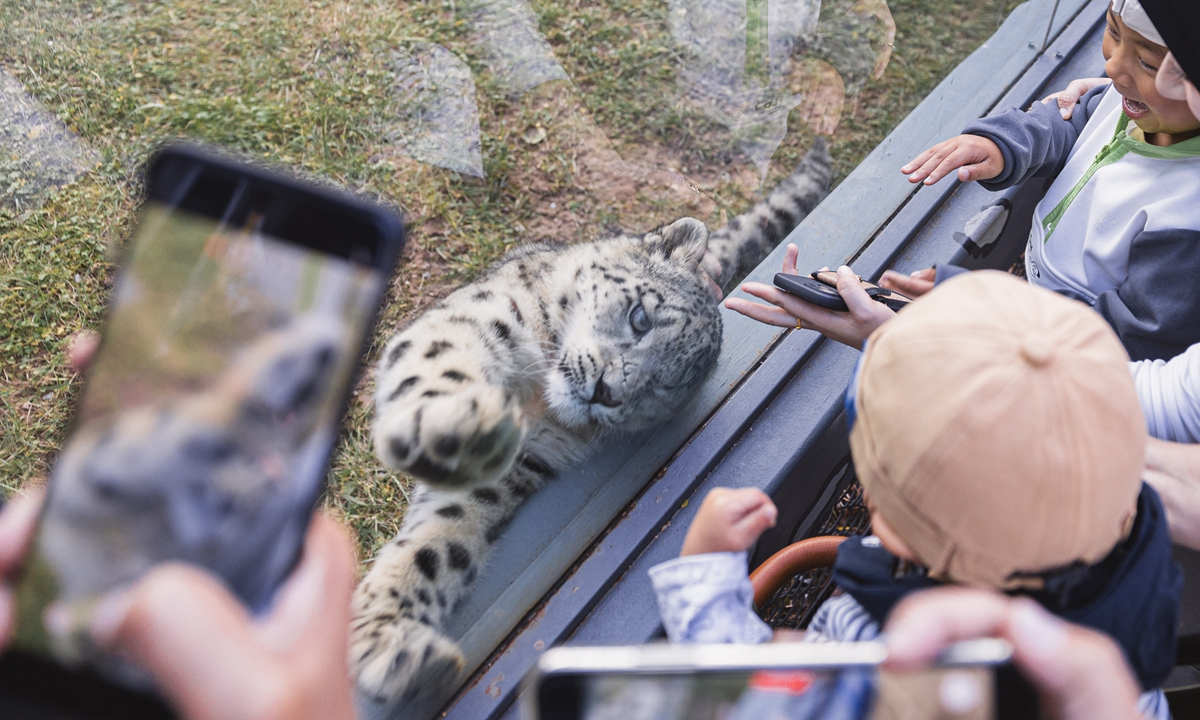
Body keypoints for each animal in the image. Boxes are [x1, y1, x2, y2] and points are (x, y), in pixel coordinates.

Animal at [351, 139, 831, 705]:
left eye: (663, 387)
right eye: (641, 318)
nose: (608, 391)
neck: (535, 400)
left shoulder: (514, 469)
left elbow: (439, 542)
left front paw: (397, 651)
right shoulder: (473, 320)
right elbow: (442, 365)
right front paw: (453, 427)